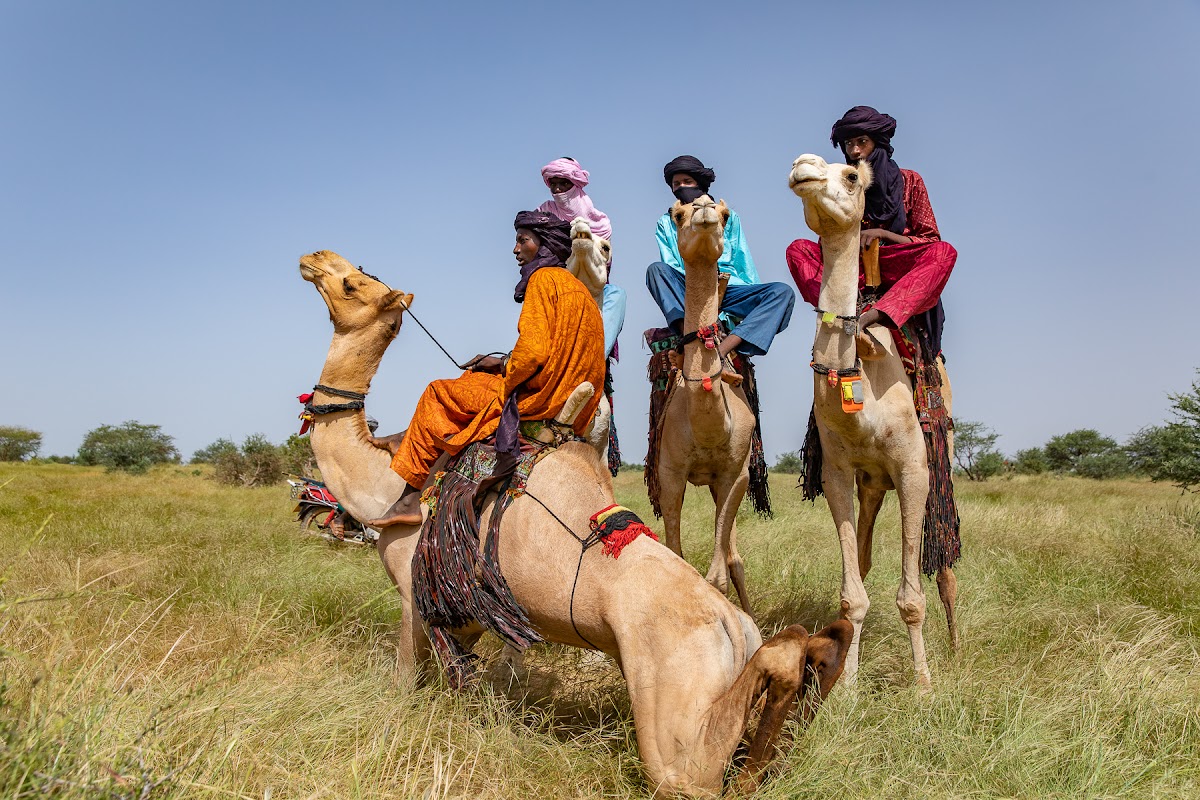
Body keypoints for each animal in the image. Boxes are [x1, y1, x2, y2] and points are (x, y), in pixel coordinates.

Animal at [294, 248, 849, 796]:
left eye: (352, 284)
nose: (314, 258)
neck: (375, 479)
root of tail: (734, 626)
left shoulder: (414, 592)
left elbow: (407, 681)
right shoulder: (464, 615)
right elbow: (458, 680)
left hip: (673, 719)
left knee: (697, 772)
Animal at [787, 155, 955, 690]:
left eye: (851, 176)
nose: (803, 167)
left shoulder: (913, 471)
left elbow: (912, 597)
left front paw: (924, 685)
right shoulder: (838, 473)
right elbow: (852, 593)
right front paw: (847, 685)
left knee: (943, 574)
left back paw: (954, 645)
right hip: (872, 484)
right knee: (861, 558)